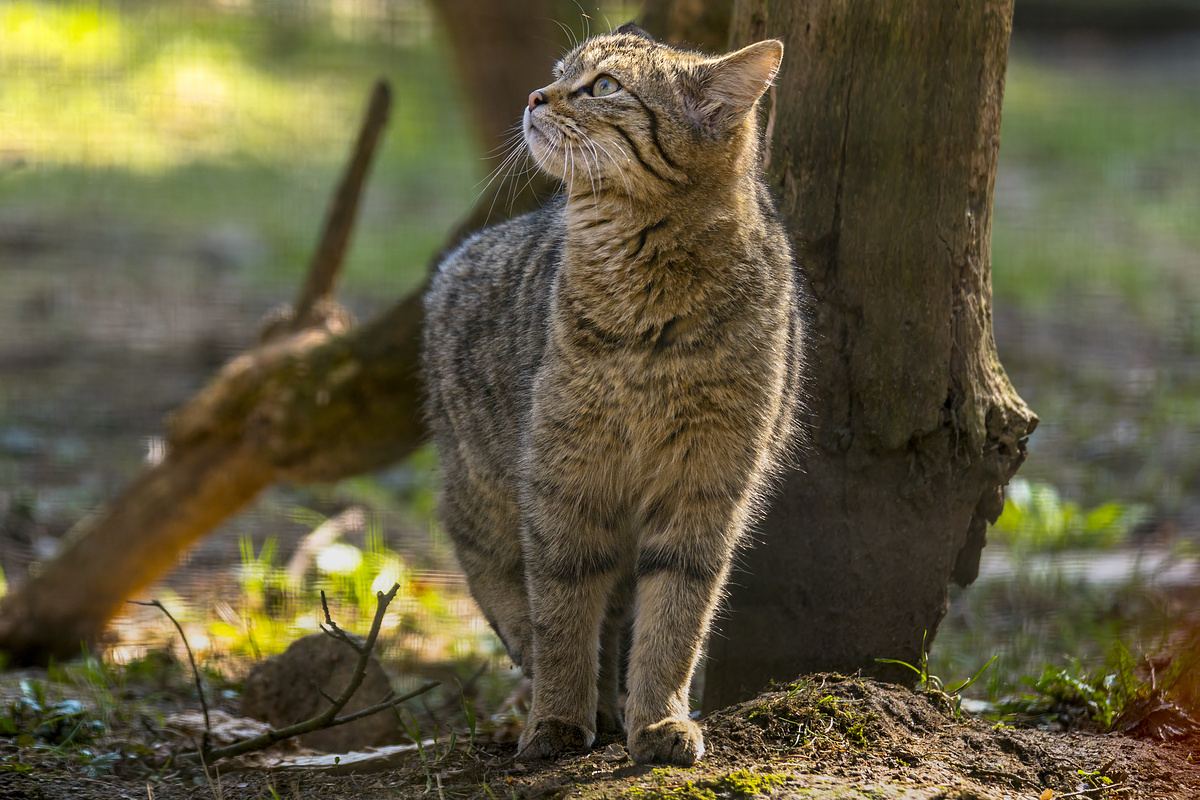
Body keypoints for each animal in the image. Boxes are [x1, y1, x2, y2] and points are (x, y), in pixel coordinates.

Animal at [424, 21, 806, 767]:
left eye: (603, 86)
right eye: (559, 73)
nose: (535, 96)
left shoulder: (704, 489)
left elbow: (674, 623)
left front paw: (659, 719)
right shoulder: (562, 481)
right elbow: (563, 618)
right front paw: (558, 720)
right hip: (483, 499)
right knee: (507, 592)